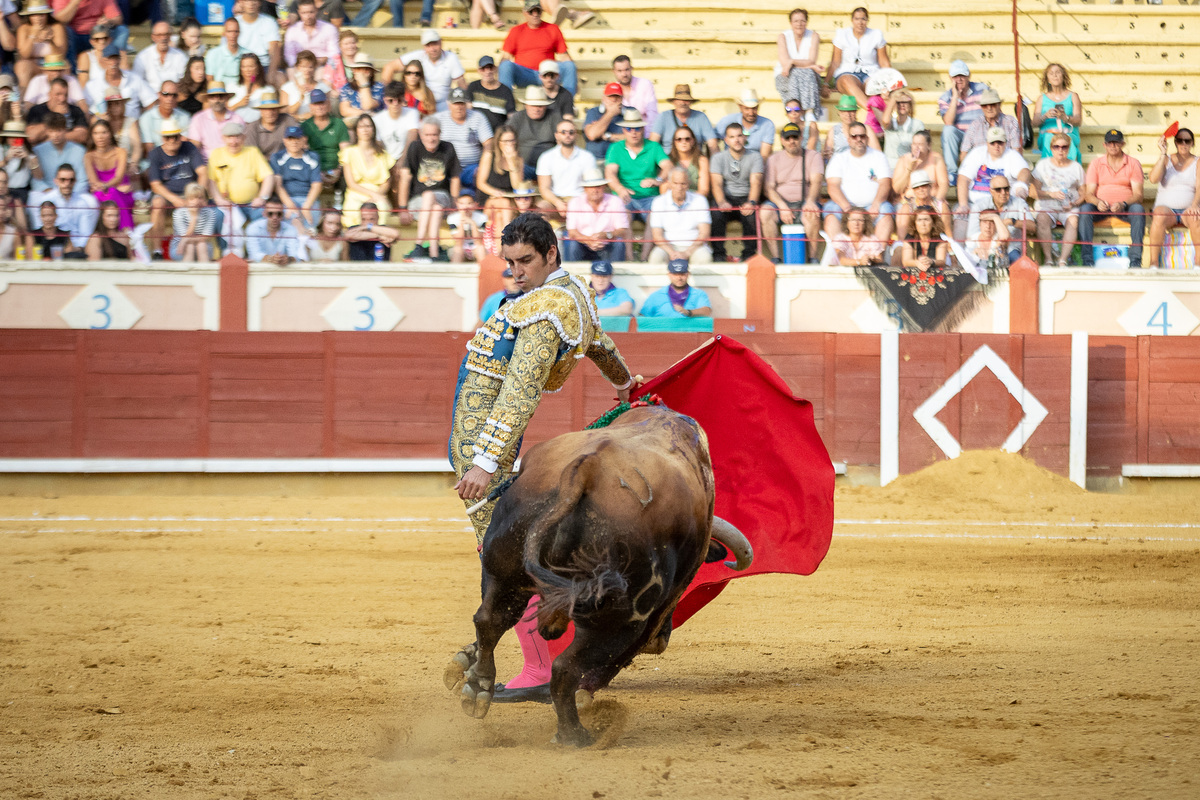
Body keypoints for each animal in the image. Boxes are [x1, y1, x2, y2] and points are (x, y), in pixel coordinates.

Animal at [446, 410, 753, 748]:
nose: (663, 638)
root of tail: (582, 472)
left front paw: (466, 660)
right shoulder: (655, 611)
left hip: (504, 569)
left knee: (489, 620)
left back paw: (478, 688)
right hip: (620, 617)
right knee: (566, 667)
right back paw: (575, 734)